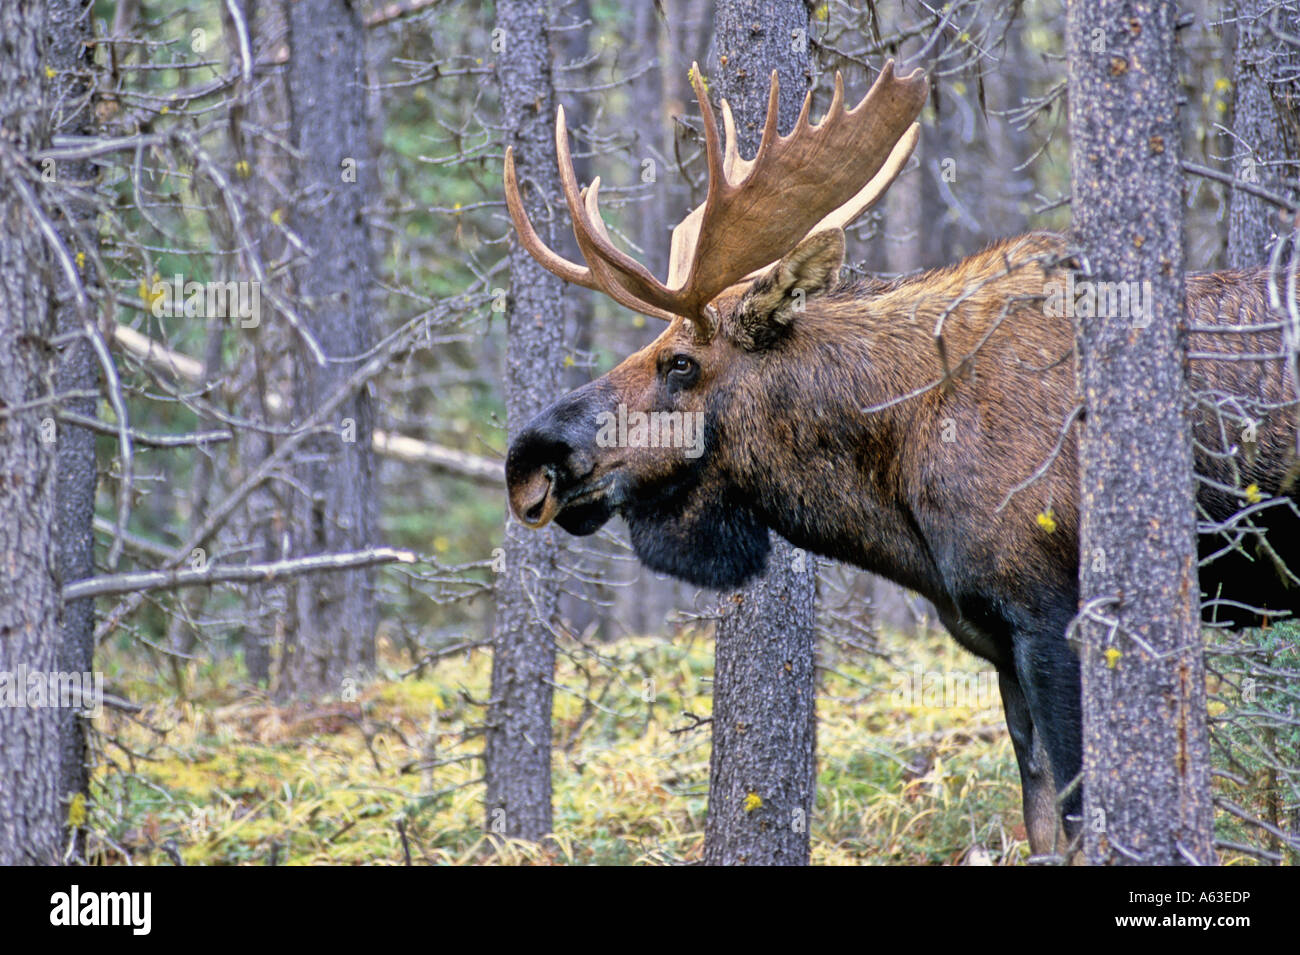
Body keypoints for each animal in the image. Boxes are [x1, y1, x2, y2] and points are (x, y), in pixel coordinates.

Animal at [496, 63, 1300, 857]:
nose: (529, 459)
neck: (901, 488)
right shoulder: (997, 639)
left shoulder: (1053, 617)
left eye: (681, 363)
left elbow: (1075, 822)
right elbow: (1040, 822)